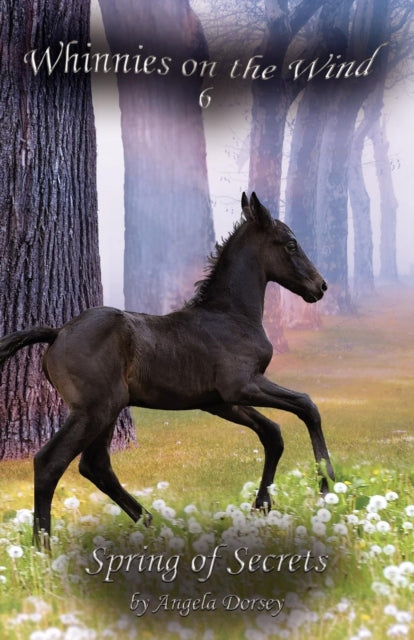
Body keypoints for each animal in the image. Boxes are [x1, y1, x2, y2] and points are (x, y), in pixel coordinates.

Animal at [0, 192, 334, 546]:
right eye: (291, 244)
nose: (321, 286)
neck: (230, 315)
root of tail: (58, 332)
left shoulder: (219, 401)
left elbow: (273, 433)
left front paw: (262, 505)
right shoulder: (243, 385)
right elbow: (307, 405)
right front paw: (327, 485)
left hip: (108, 409)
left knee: (96, 465)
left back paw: (152, 523)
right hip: (95, 409)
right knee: (51, 462)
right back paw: (43, 547)